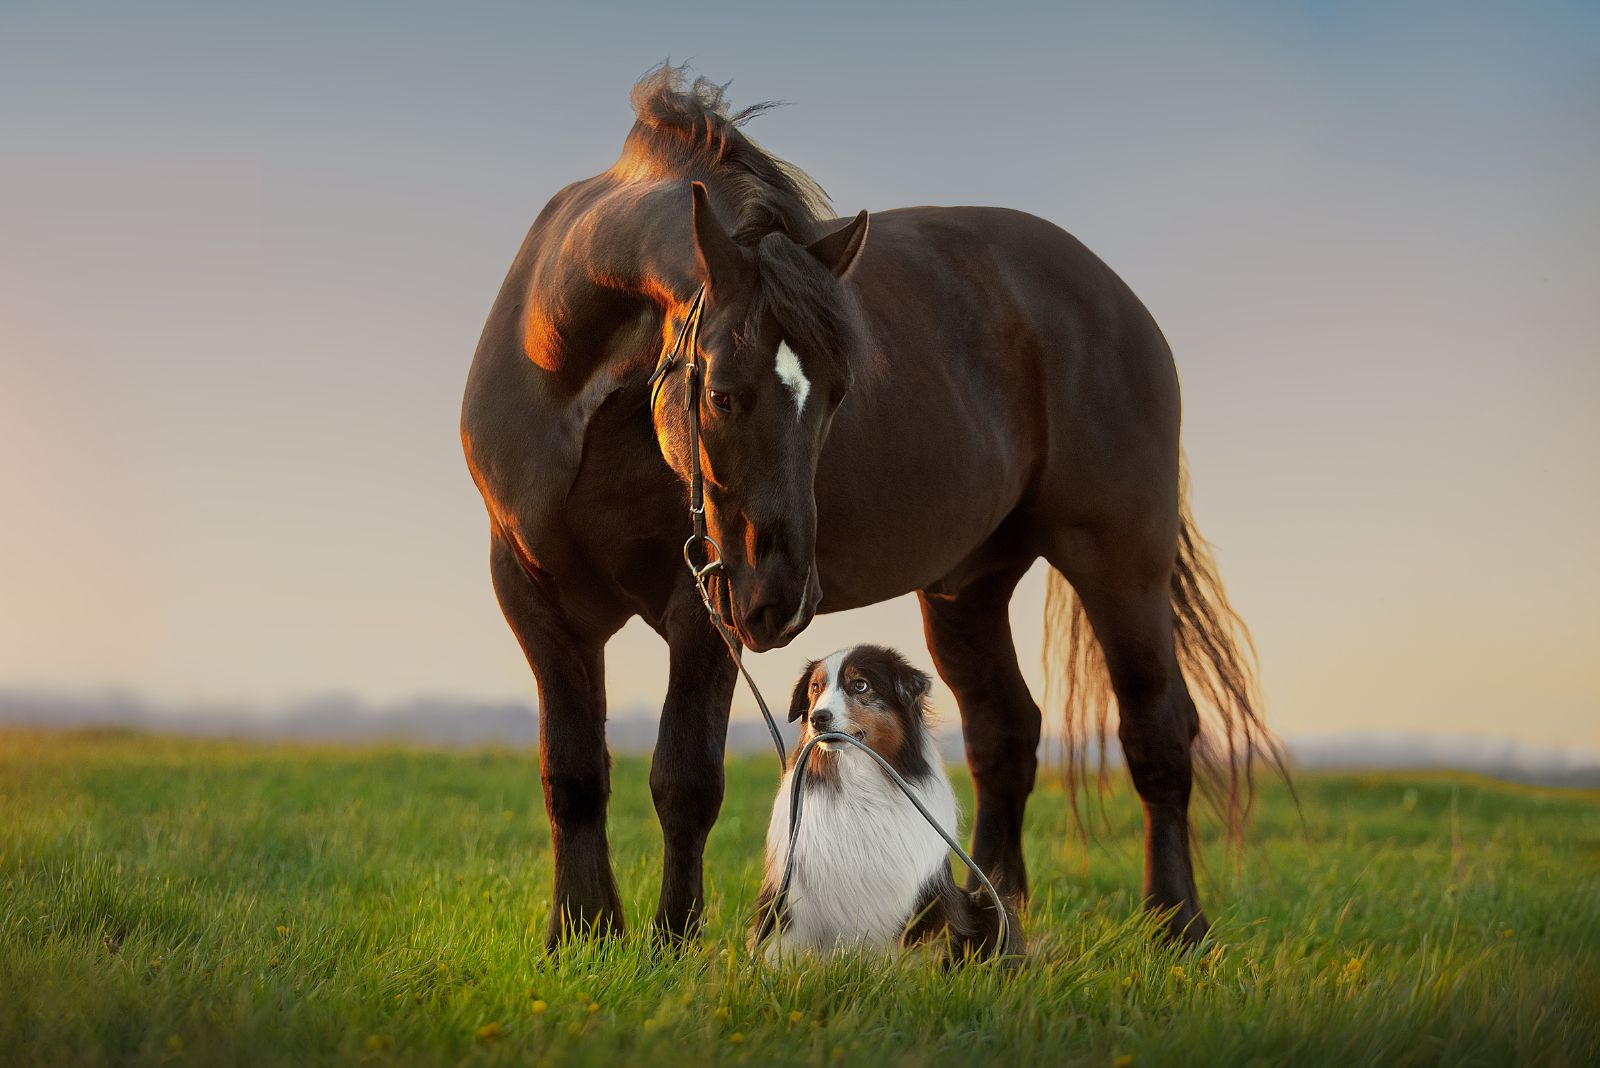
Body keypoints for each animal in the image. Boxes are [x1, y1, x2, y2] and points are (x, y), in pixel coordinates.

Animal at [745, 645, 1017, 965]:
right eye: (815, 688)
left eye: (860, 685)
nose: (817, 718)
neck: (857, 783)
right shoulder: (789, 900)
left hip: (990, 905)